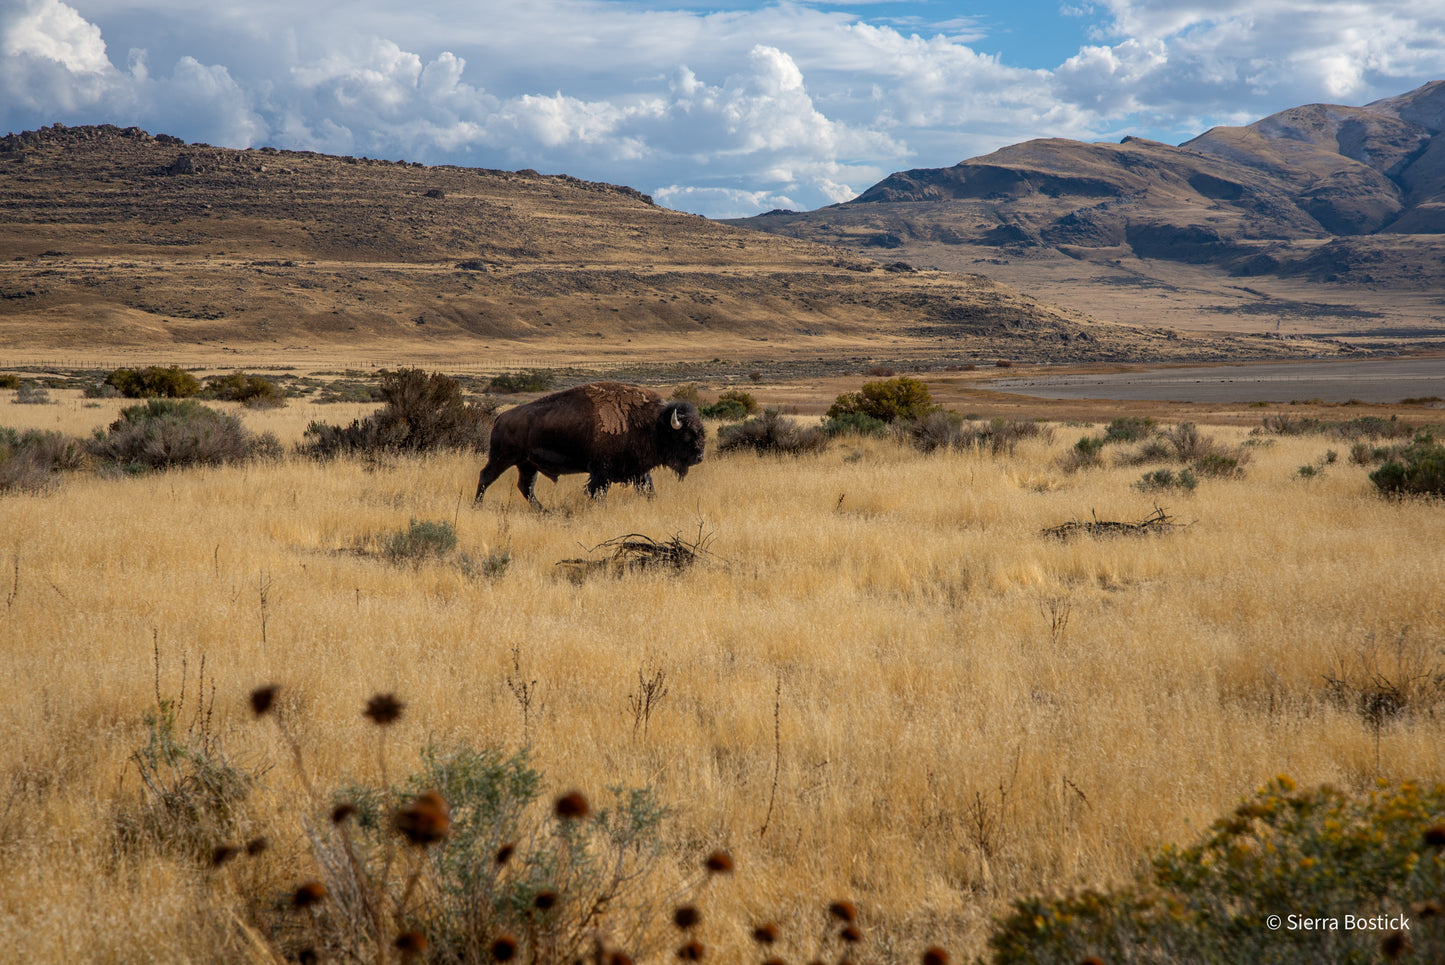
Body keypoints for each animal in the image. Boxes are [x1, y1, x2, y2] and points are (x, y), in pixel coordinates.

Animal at [474, 382, 705, 508]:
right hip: (502, 458)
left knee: (526, 487)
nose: (699, 457)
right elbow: (597, 492)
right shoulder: (601, 472)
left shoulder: (639, 472)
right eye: (686, 435)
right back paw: (477, 505)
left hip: (527, 465)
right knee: (486, 477)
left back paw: (544, 510)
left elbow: (648, 489)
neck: (652, 424)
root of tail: (500, 417)